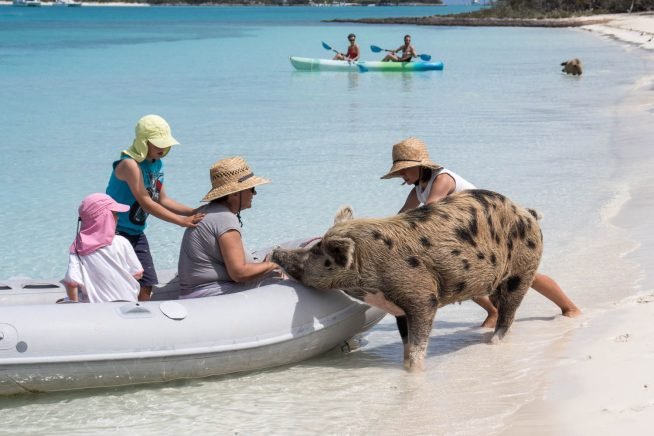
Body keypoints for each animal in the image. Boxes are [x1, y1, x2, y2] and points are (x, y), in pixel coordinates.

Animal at [272, 190, 543, 371]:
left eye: (316, 252)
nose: (275, 251)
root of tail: (528, 213)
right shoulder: (399, 308)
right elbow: (405, 342)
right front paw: (402, 365)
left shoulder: (422, 296)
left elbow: (417, 345)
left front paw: (413, 370)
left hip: (522, 271)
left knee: (509, 312)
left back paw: (492, 343)